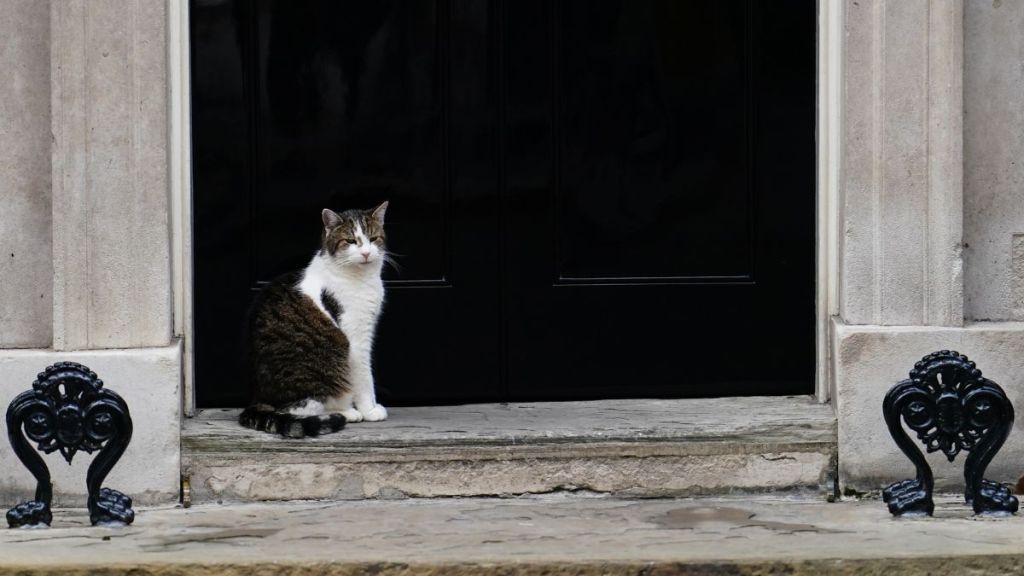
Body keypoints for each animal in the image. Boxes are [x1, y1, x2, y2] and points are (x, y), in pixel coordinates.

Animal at [237, 200, 389, 434]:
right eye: (350, 241)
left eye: (373, 239)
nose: (365, 253)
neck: (362, 278)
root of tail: (259, 398)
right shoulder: (356, 338)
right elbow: (365, 377)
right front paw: (370, 410)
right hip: (330, 359)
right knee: (300, 408)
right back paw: (346, 413)